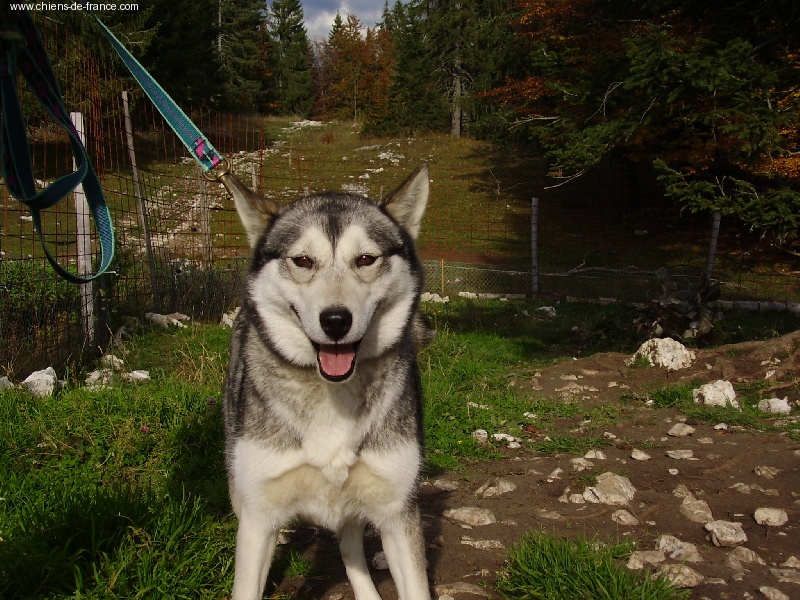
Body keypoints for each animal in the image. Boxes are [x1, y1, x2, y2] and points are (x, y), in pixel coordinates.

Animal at [219, 165, 432, 600]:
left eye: (366, 259)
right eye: (303, 261)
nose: (336, 320)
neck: (332, 393)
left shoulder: (397, 510)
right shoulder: (258, 515)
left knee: (350, 547)